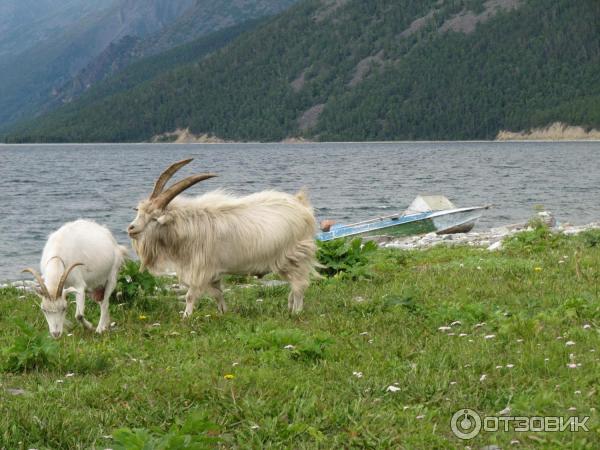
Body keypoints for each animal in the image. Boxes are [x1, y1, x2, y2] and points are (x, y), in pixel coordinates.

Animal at [127, 158, 318, 316]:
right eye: (140, 211)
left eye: (154, 218)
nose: (131, 228)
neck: (186, 225)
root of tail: (302, 205)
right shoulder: (213, 271)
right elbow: (217, 294)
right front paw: (223, 313)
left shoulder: (201, 269)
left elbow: (190, 296)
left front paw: (186, 318)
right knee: (295, 286)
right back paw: (290, 308)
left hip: (296, 256)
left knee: (300, 285)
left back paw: (296, 312)